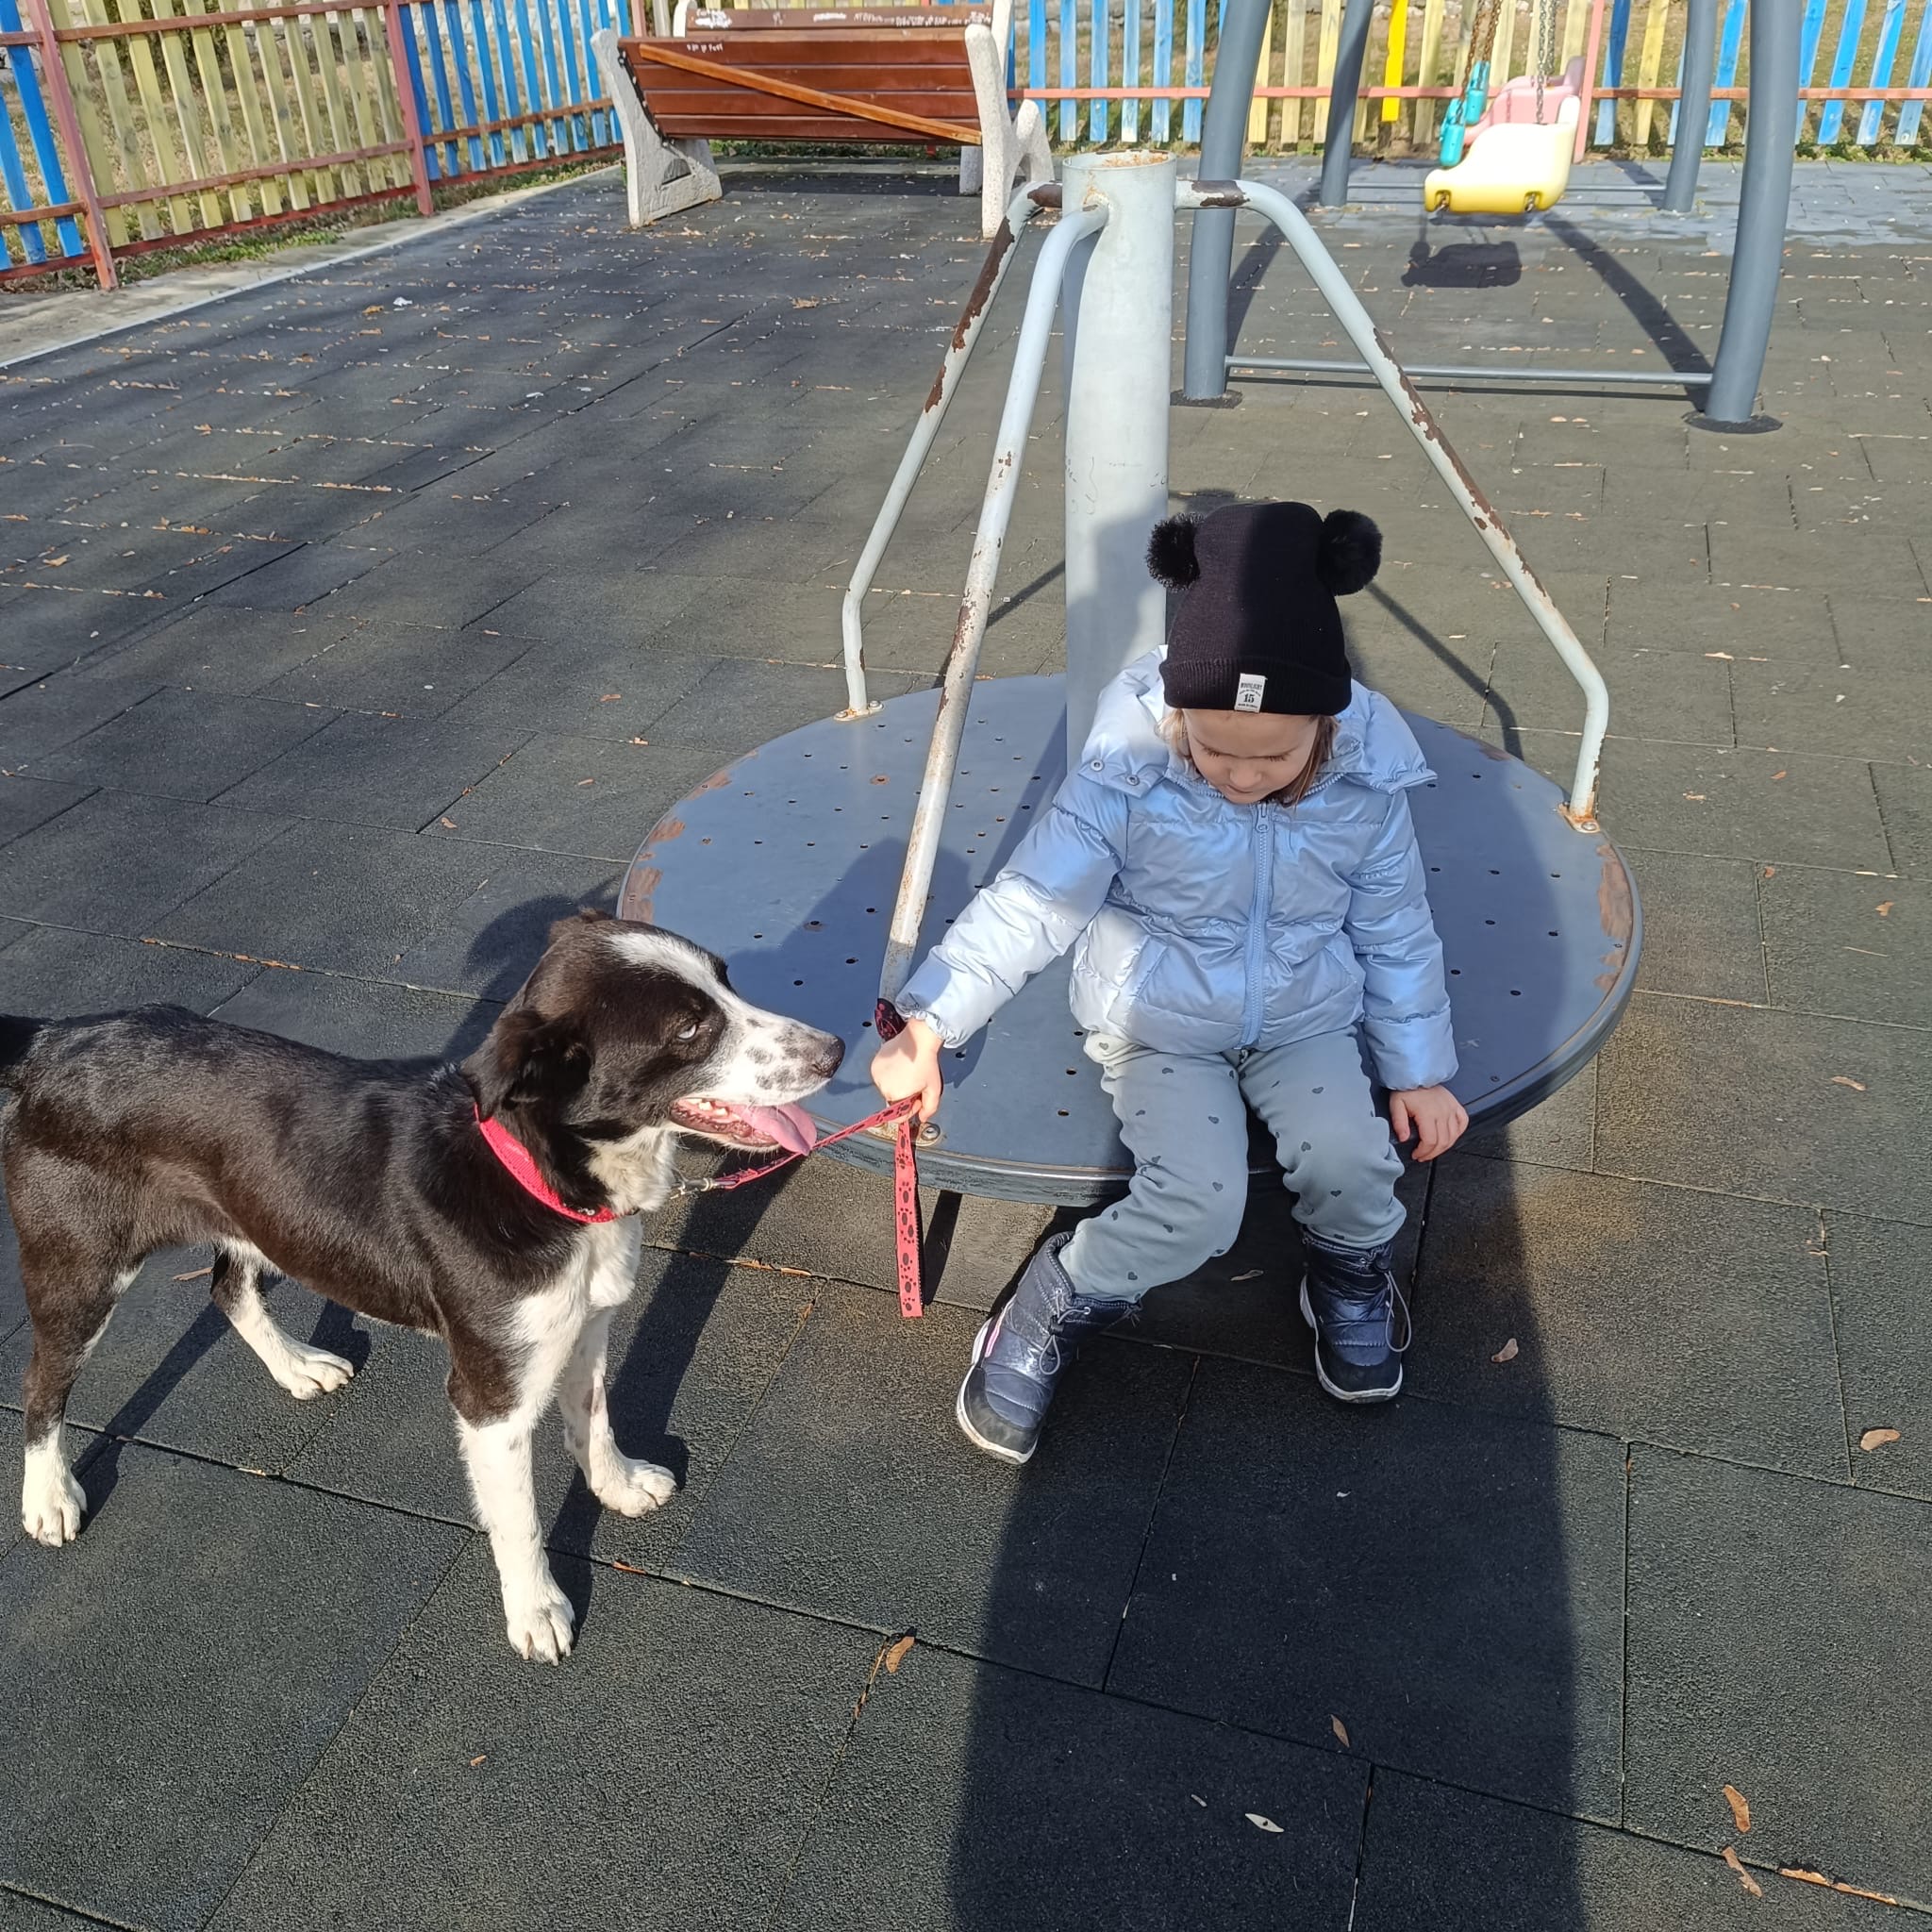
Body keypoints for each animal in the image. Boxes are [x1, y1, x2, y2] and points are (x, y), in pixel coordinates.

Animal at [1, 910, 842, 1661]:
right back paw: (47, 1499)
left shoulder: (585, 1329)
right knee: (42, 1382)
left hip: (254, 1219)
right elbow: (520, 1521)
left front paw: (618, 1484)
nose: (836, 1049)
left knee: (227, 1288)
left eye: (728, 980)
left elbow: (594, 1420)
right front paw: (536, 1612)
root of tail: (46, 1042)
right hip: (80, 1270)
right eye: (690, 1030)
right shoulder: (491, 1399)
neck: (540, 1180)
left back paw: (296, 1367)